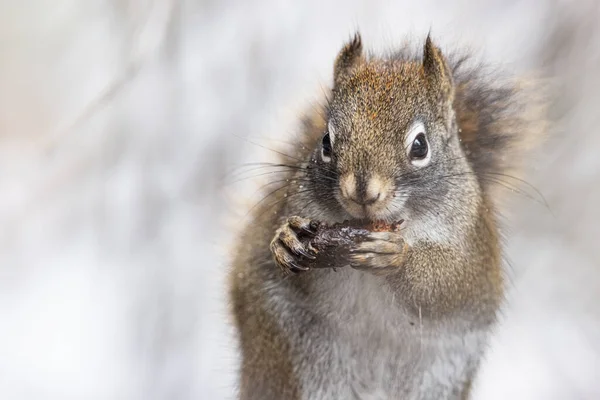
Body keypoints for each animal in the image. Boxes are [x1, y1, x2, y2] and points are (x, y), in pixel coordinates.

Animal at [229, 32, 548, 398]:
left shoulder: (473, 246)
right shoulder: (295, 205)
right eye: (325, 142)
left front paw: (396, 256)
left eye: (420, 146)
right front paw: (286, 239)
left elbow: (448, 284)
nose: (362, 191)